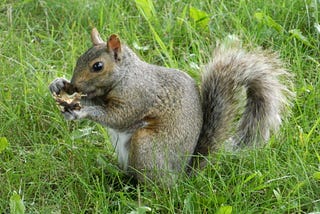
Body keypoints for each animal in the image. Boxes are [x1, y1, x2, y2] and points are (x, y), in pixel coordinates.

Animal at [48, 28, 292, 185]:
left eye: (98, 66)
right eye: (79, 58)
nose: (74, 84)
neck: (126, 76)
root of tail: (181, 175)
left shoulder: (138, 97)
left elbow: (118, 117)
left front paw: (82, 110)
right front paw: (59, 84)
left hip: (146, 146)